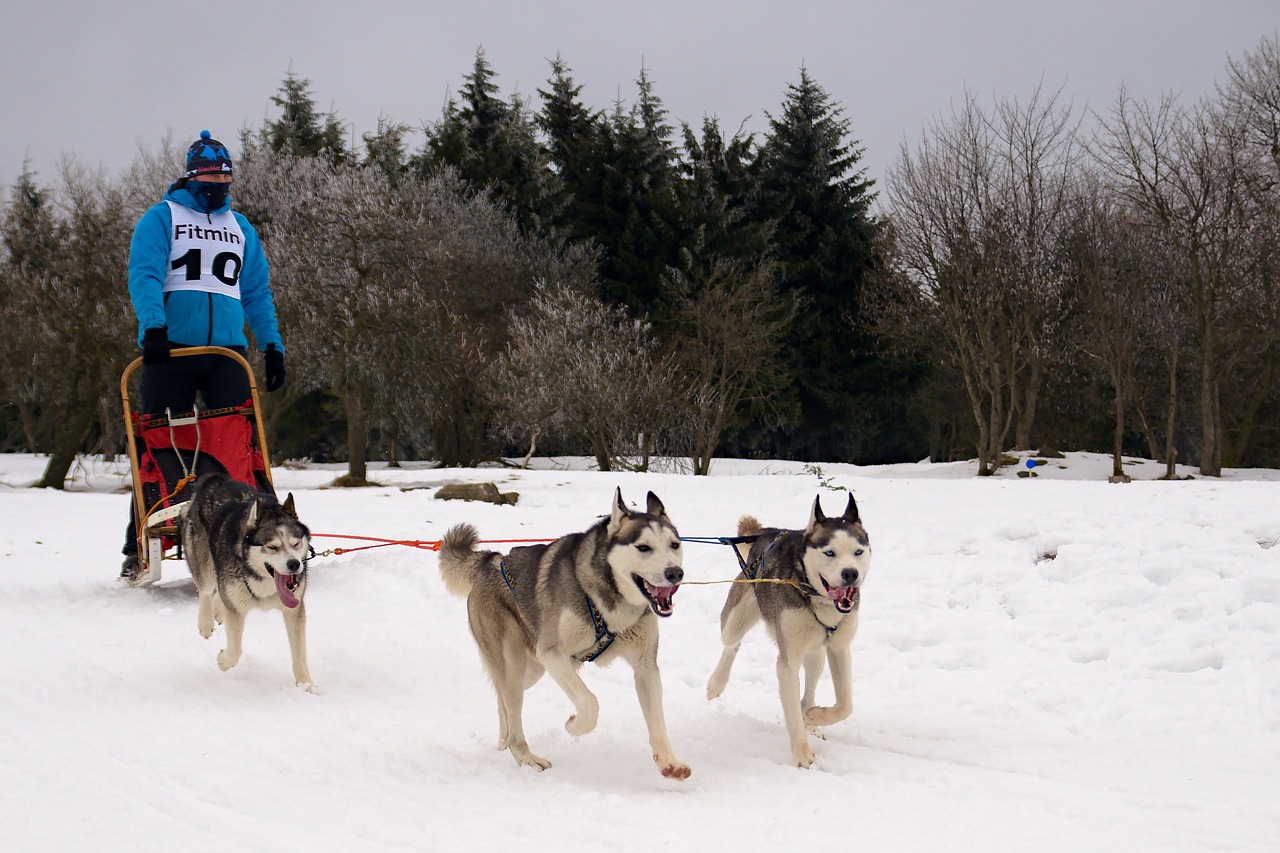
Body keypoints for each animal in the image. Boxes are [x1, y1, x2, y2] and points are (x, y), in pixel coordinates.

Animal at [181, 471, 313, 691]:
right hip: (204, 562)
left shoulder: (293, 610)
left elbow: (300, 654)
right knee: (206, 589)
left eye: (296, 544)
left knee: (219, 592)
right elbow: (235, 650)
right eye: (272, 547)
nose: (294, 564)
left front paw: (306, 686)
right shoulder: (236, 608)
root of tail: (217, 478)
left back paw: (218, 611)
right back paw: (206, 622)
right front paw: (223, 661)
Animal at [442, 484, 701, 778]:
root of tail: (490, 561)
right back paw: (526, 757)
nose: (675, 573)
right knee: (512, 707)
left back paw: (504, 741)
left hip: (531, 671)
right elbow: (589, 701)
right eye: (643, 547)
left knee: (502, 699)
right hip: (517, 663)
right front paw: (574, 726)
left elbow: (657, 719)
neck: (610, 604)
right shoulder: (553, 654)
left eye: (674, 544)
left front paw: (669, 762)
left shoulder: (645, 665)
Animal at [706, 491, 875, 763]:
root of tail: (764, 533)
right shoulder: (787, 661)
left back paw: (812, 717)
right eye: (830, 553)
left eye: (858, 551)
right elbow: (793, 711)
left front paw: (815, 715)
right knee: (732, 645)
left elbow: (845, 705)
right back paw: (716, 684)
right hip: (734, 620)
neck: (817, 597)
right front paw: (802, 755)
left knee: (810, 685)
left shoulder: (839, 648)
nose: (850, 573)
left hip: (816, 653)